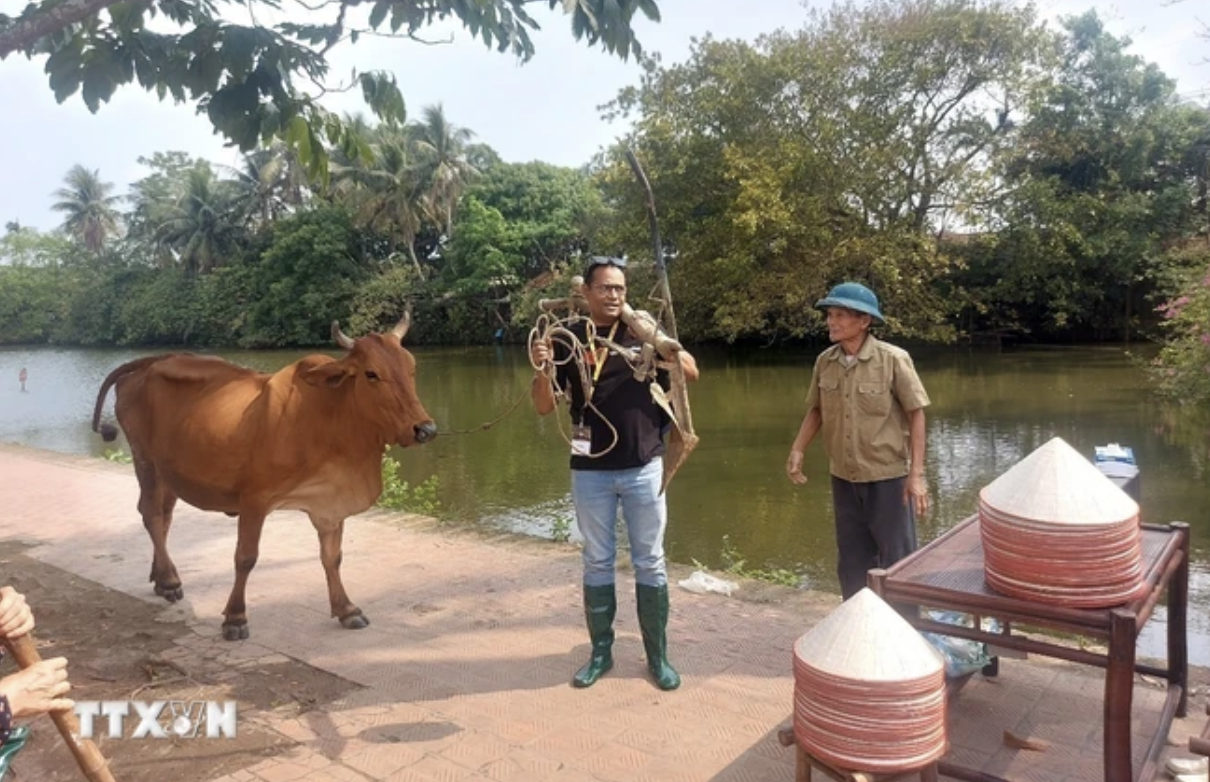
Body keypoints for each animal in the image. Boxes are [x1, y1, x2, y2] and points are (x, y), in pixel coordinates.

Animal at [91, 314, 438, 644]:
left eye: (412, 369)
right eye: (371, 374)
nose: (425, 429)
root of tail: (150, 361)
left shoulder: (329, 504)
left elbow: (332, 558)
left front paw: (346, 609)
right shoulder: (254, 500)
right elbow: (245, 558)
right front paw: (235, 618)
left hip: (169, 472)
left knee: (163, 517)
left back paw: (162, 579)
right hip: (144, 458)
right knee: (150, 513)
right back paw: (171, 580)